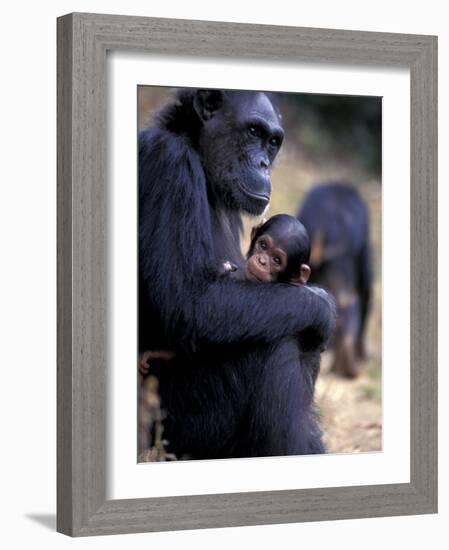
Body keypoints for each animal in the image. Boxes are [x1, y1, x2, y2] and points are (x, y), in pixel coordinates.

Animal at [138, 89, 334, 462]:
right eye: (253, 132)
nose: (263, 164)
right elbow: (190, 304)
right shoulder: (169, 164)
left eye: (273, 142)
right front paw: (323, 305)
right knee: (277, 341)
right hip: (176, 432)